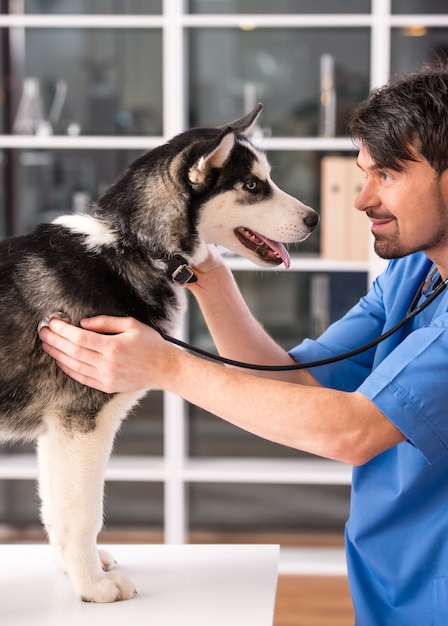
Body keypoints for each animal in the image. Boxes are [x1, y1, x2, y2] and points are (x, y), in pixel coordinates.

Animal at [0, 105, 318, 604]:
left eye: (265, 179)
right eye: (252, 186)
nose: (315, 219)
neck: (133, 245)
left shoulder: (59, 430)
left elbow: (59, 511)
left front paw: (75, 569)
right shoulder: (83, 422)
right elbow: (83, 513)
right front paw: (93, 586)